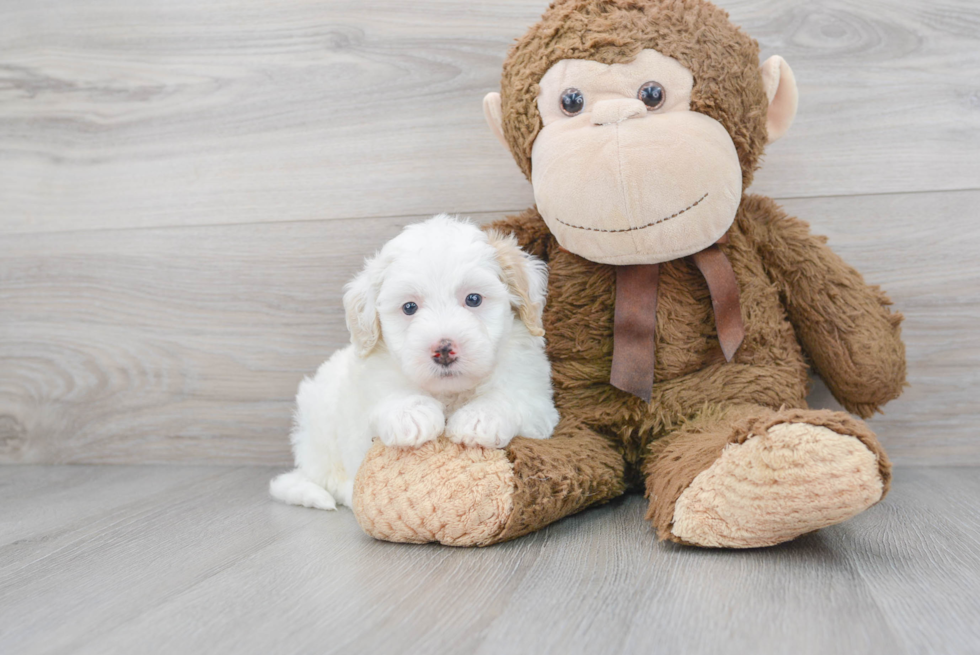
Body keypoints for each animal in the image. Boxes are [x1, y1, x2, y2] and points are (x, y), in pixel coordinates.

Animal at [268, 215, 560, 512]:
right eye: (409, 307)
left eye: (474, 299)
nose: (443, 349)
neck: (449, 392)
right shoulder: (366, 394)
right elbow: (388, 397)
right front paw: (410, 413)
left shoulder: (538, 402)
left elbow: (511, 398)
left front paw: (480, 417)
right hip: (320, 425)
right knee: (330, 479)